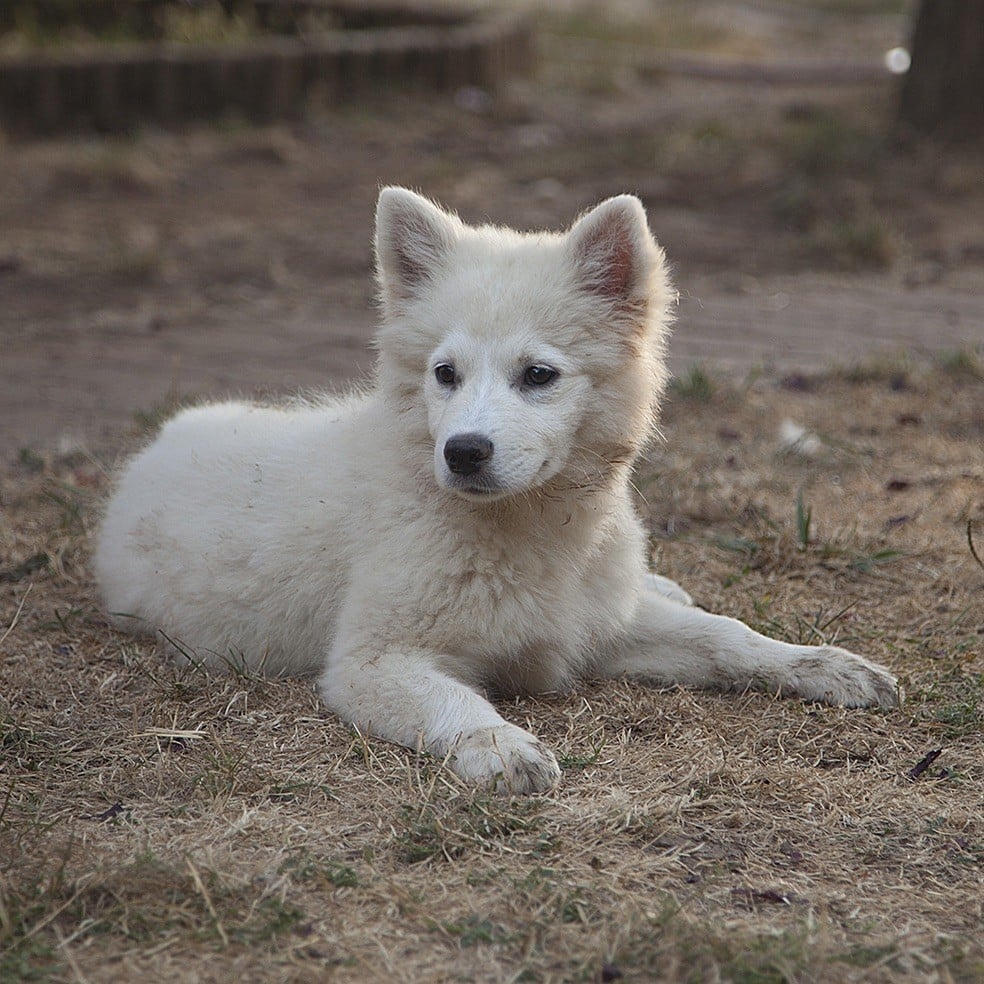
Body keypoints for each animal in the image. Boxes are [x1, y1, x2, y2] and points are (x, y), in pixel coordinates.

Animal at [94, 190, 900, 792]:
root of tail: (156, 446)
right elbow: (454, 698)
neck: (528, 534)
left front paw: (824, 666)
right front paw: (498, 746)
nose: (463, 452)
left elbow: (727, 636)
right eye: (444, 374)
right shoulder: (373, 661)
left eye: (538, 375)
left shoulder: (594, 631)